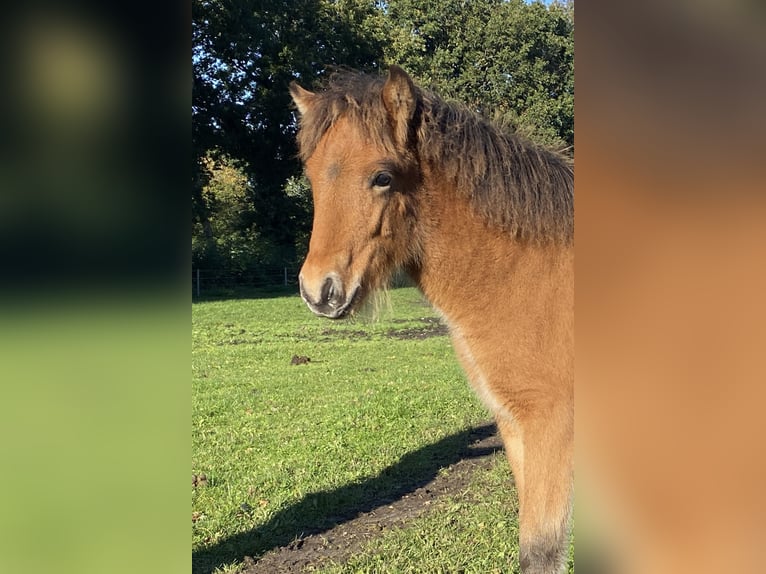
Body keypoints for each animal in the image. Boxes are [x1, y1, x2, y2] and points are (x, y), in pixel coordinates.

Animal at [292, 65, 572, 572]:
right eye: (313, 176)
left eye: (383, 177)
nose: (318, 291)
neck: (527, 278)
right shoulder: (514, 425)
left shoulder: (552, 426)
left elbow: (541, 552)